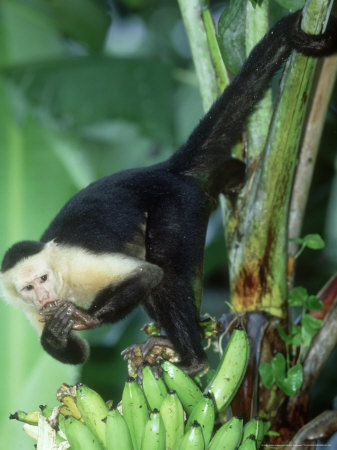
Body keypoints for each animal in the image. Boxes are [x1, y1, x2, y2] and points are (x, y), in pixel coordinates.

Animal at [0, 11, 336, 372]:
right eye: (29, 287)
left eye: (44, 279)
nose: (44, 295)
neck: (62, 279)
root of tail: (162, 169)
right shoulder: (27, 309)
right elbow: (79, 353)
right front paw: (55, 336)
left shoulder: (75, 264)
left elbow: (148, 274)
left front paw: (87, 319)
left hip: (177, 203)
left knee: (164, 268)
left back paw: (193, 359)